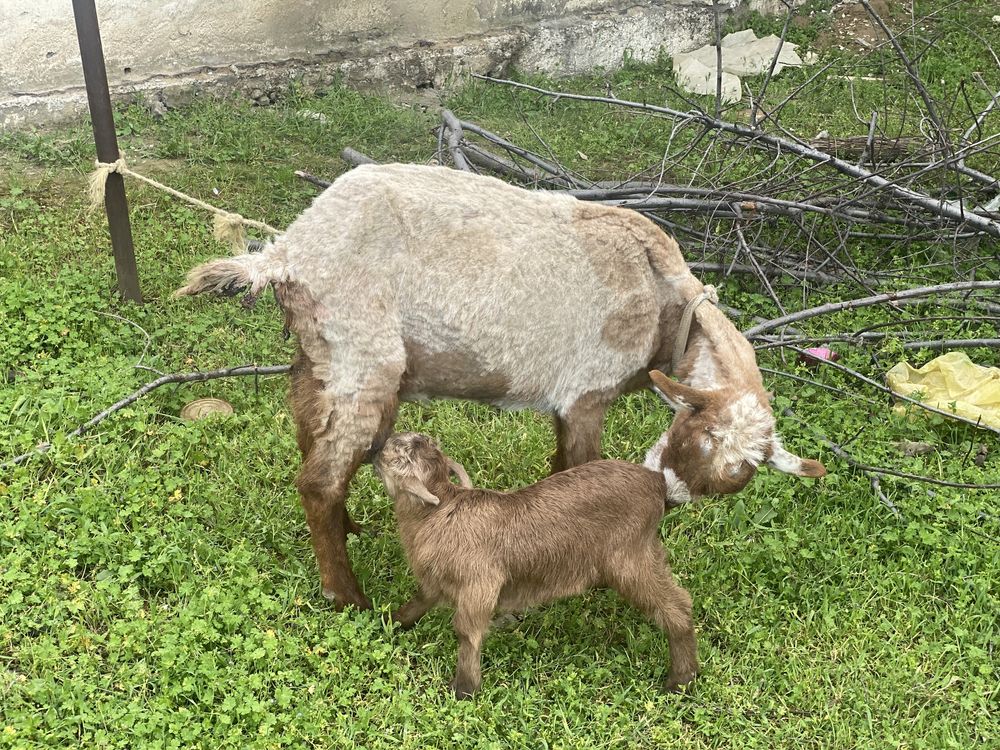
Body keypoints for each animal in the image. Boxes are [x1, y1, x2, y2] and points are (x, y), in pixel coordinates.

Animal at [176, 163, 824, 612]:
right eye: (691, 439)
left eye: (726, 485)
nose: (664, 498)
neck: (662, 295)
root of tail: (289, 251)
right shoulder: (587, 391)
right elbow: (579, 465)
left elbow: (560, 465)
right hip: (363, 349)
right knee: (319, 479)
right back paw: (348, 597)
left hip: (324, 352)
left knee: (310, 431)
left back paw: (352, 529)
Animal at [372, 432, 700, 704]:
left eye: (395, 454)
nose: (374, 450)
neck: (441, 511)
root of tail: (657, 484)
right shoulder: (435, 581)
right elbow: (420, 600)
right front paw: (391, 621)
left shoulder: (480, 583)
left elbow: (467, 631)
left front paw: (464, 690)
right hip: (646, 553)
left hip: (630, 561)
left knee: (678, 607)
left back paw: (680, 681)